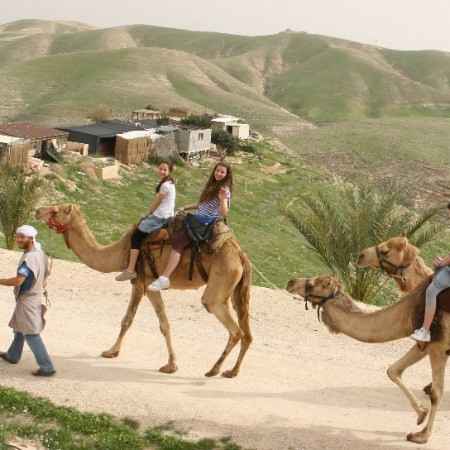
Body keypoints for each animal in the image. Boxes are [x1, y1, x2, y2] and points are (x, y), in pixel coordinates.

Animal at [34, 203, 253, 376]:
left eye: (55, 210)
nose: (37, 210)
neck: (122, 251)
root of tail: (241, 256)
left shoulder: (149, 283)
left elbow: (164, 325)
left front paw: (171, 365)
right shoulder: (138, 283)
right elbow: (127, 320)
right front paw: (111, 352)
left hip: (219, 284)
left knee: (234, 328)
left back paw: (213, 369)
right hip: (237, 290)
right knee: (247, 332)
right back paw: (231, 371)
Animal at [286, 274, 448, 442]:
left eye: (311, 285)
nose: (290, 282)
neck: (409, 311)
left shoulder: (439, 345)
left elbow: (436, 394)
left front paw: (421, 436)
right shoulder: (426, 343)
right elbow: (393, 370)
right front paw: (421, 413)